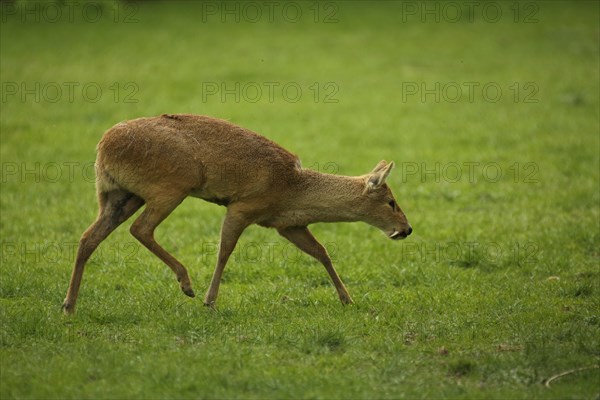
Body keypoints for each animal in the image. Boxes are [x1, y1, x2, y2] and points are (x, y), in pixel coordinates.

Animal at [63, 114, 412, 314]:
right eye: (391, 201)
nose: (407, 229)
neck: (292, 191)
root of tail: (102, 148)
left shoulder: (287, 224)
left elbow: (321, 252)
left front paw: (347, 299)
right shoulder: (243, 206)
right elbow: (224, 250)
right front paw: (209, 300)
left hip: (120, 194)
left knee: (88, 237)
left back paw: (68, 305)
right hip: (171, 185)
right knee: (140, 229)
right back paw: (186, 282)